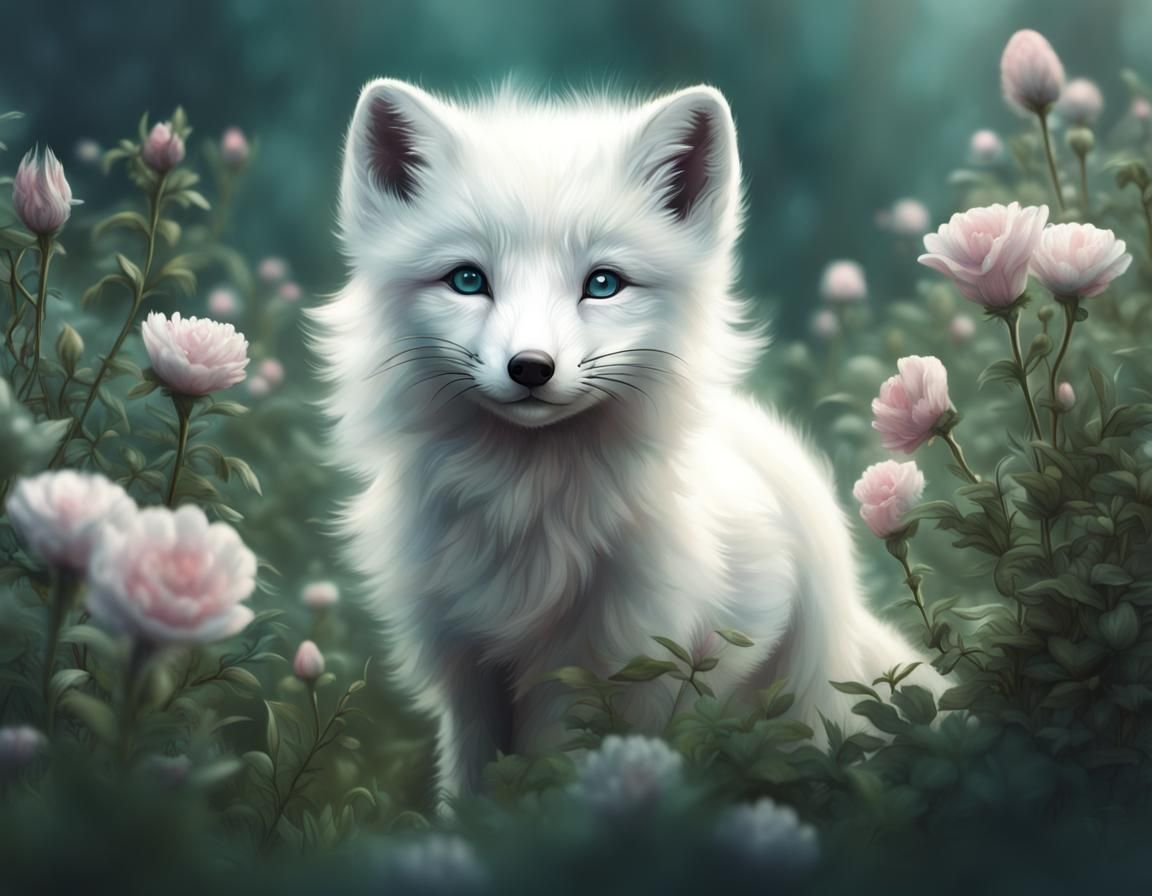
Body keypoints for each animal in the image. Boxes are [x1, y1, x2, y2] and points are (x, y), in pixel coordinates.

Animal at [310, 78, 944, 802]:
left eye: (603, 284)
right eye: (468, 279)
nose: (531, 367)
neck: (528, 509)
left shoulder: (626, 664)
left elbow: (568, 768)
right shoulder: (466, 670)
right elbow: (478, 785)